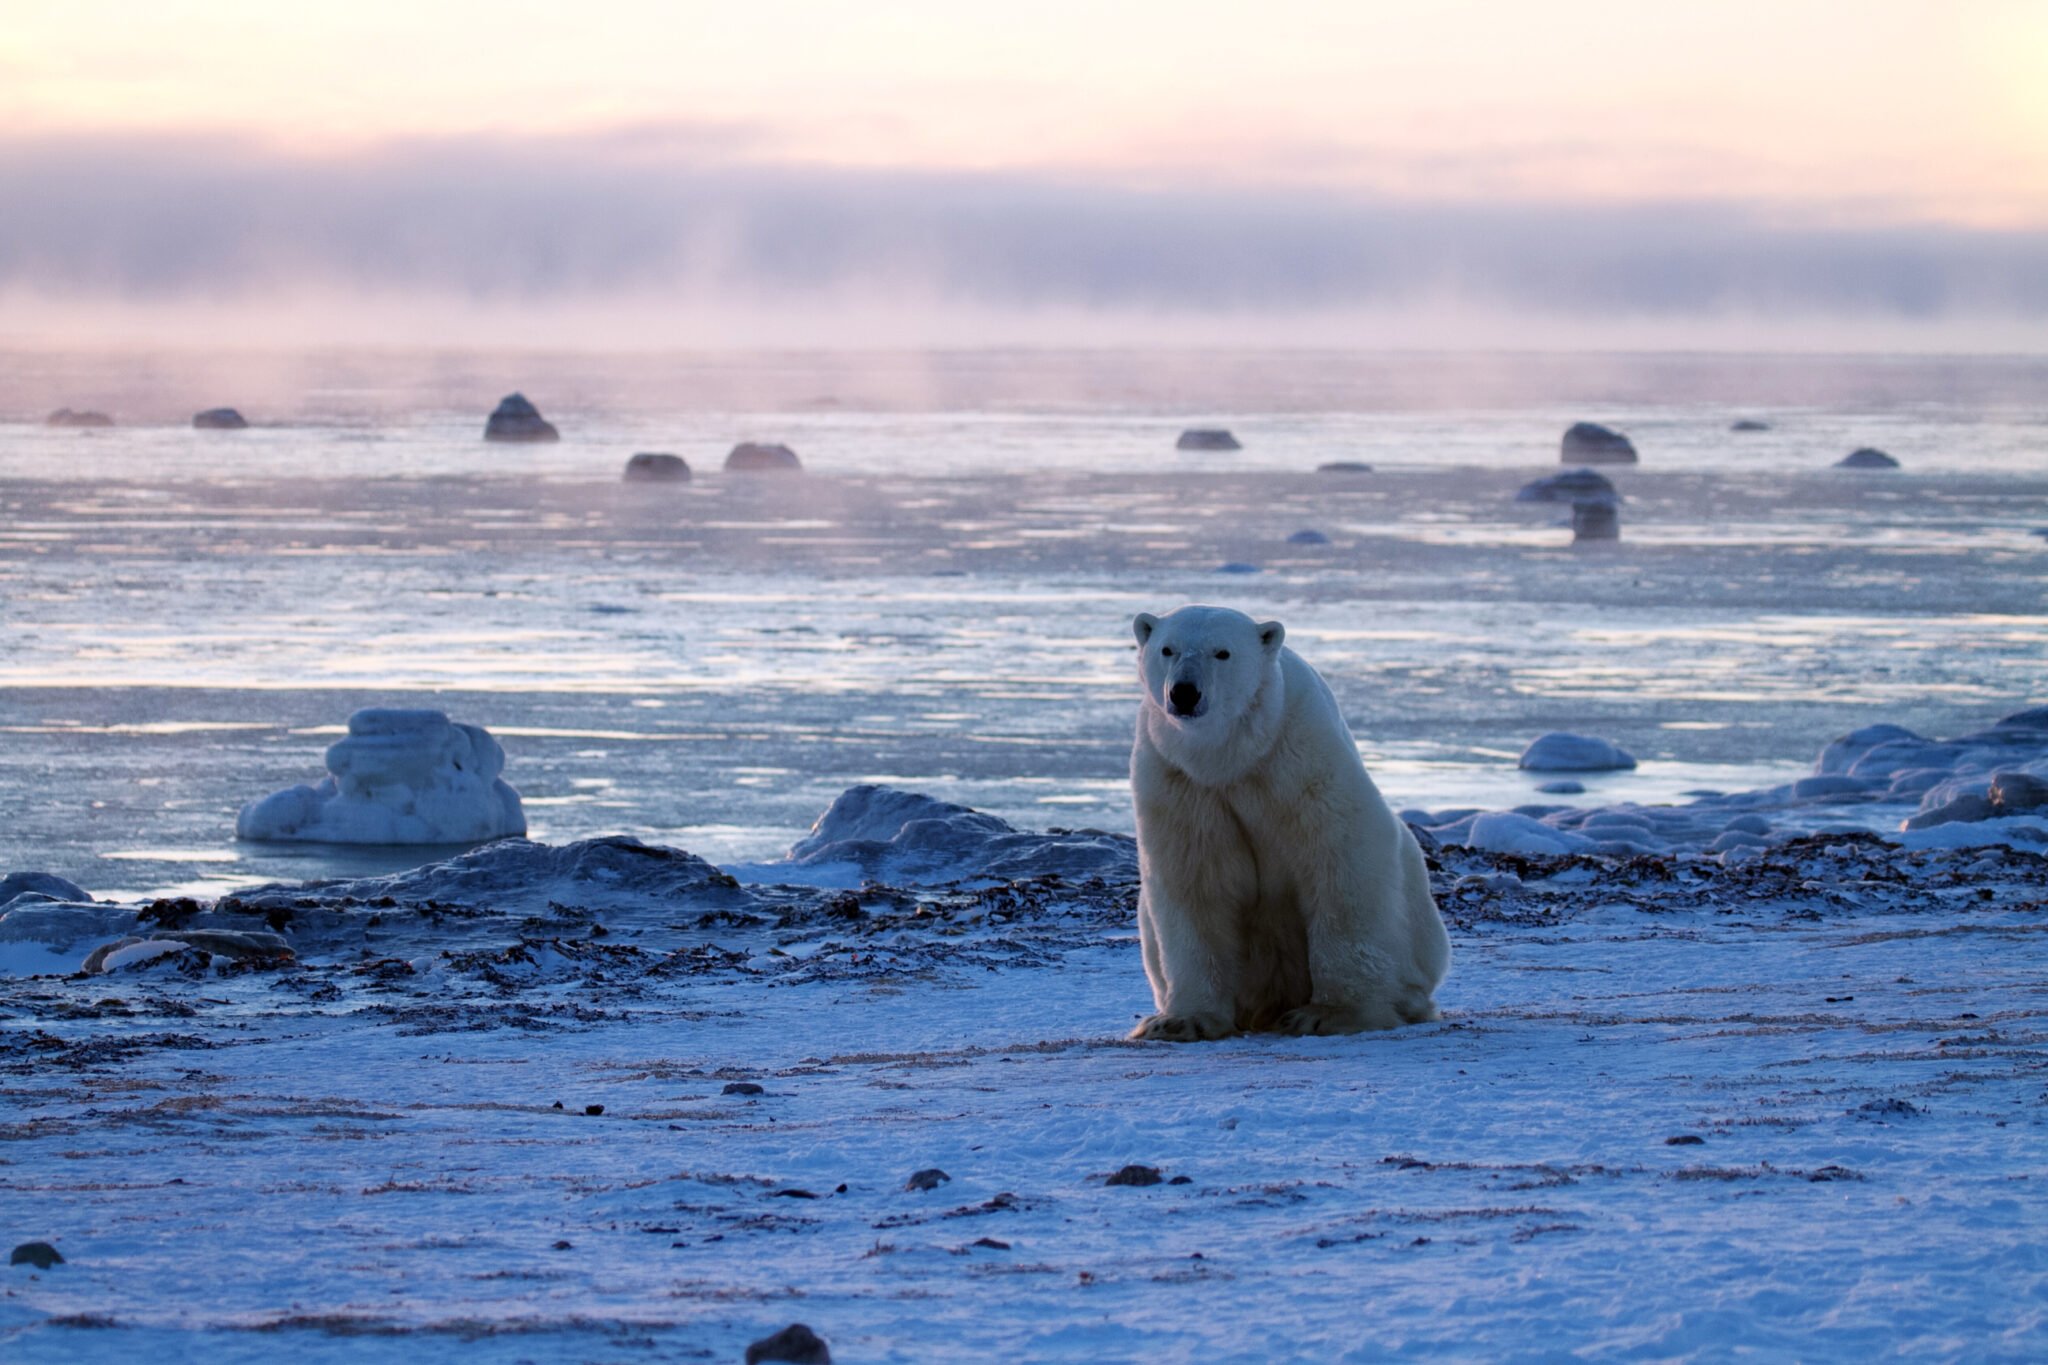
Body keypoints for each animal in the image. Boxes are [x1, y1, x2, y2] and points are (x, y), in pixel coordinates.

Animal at [1130, 601, 1449, 1039]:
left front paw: (1330, 1014)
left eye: (1222, 652)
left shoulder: (1298, 754)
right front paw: (1182, 1020)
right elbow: (1195, 879)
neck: (1232, 756)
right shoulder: (1179, 779)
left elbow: (1340, 855)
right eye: (1167, 649)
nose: (1184, 692)